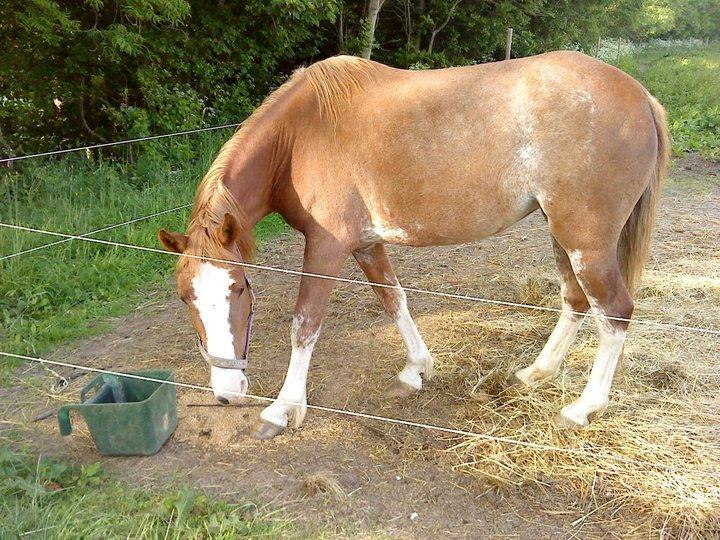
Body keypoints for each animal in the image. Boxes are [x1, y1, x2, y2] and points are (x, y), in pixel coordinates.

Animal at [158, 50, 668, 438]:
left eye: (239, 288)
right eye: (185, 297)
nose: (227, 391)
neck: (301, 136)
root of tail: (640, 95)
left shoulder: (325, 249)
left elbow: (305, 324)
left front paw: (283, 408)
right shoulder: (365, 244)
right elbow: (394, 299)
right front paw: (416, 368)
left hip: (586, 242)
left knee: (615, 312)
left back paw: (583, 408)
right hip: (564, 235)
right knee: (576, 301)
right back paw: (535, 374)